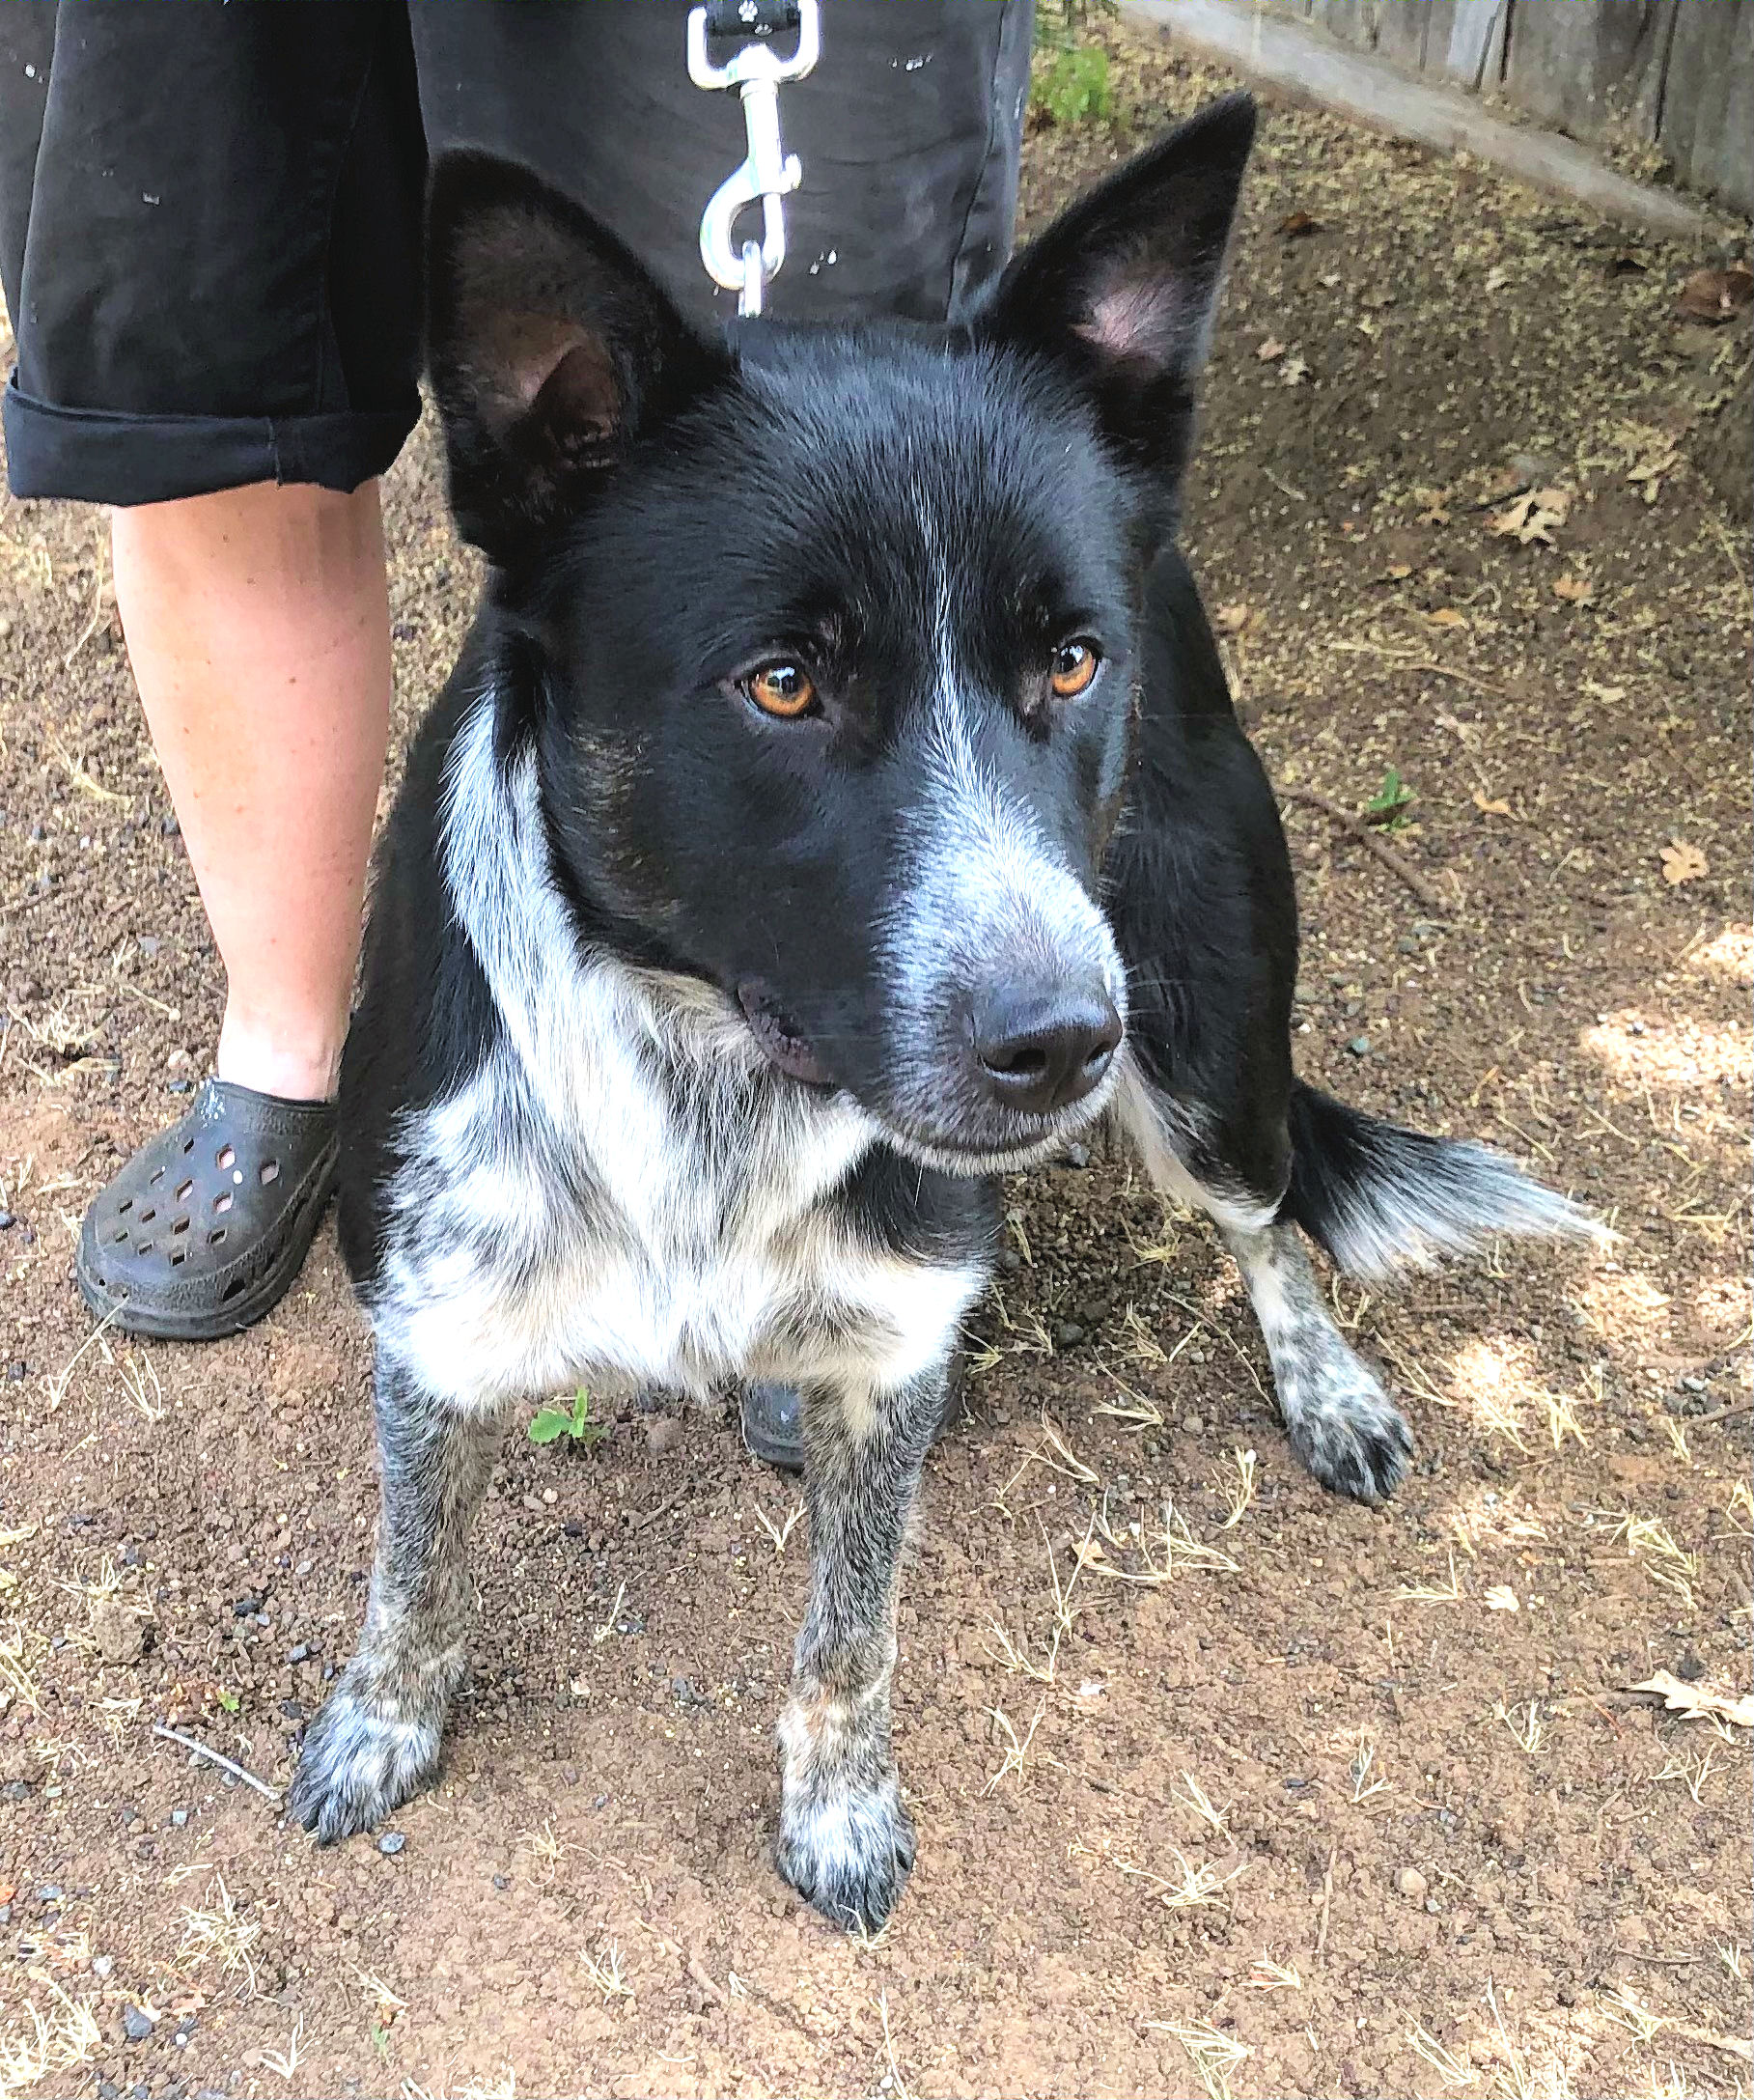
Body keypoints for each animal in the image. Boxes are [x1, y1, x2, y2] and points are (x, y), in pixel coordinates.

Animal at [292, 98, 1604, 1932]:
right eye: (782, 682)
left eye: (1068, 661)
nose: (1061, 1045)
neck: (707, 1078)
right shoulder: (433, 1319)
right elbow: (413, 1571)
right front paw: (384, 1724)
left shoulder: (893, 1356)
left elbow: (850, 1637)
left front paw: (837, 1812)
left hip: (1207, 1047)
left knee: (1268, 1217)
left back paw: (1324, 1385)